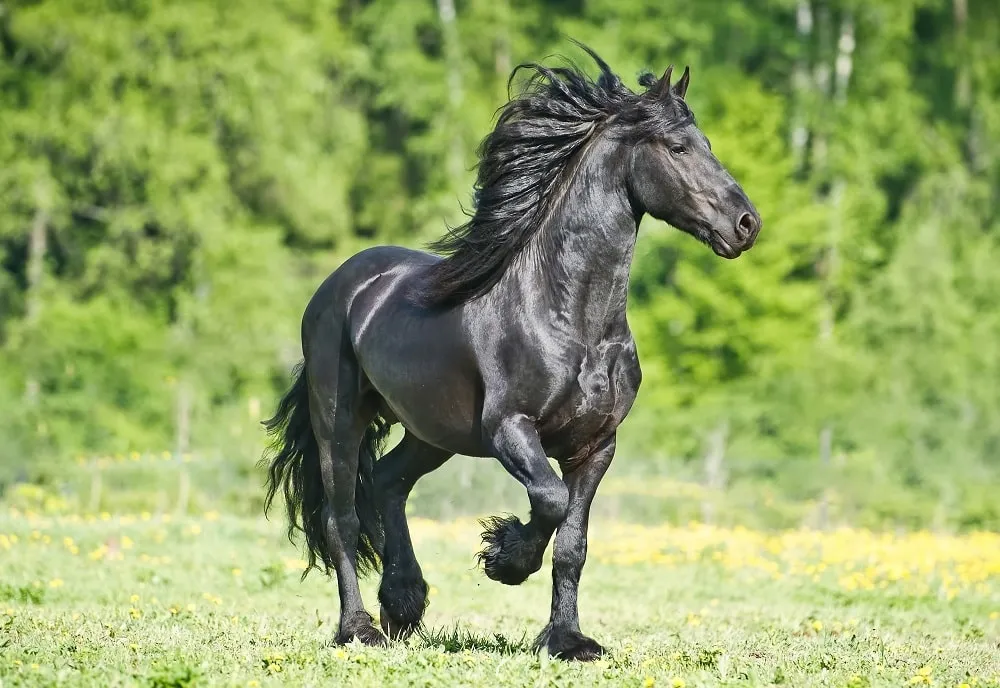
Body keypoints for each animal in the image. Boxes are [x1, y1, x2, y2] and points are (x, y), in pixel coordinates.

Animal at [262, 42, 761, 661]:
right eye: (677, 148)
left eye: (706, 144)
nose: (746, 224)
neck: (571, 320)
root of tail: (341, 284)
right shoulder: (509, 429)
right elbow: (548, 500)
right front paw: (504, 558)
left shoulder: (596, 445)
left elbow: (573, 543)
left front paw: (568, 640)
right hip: (340, 418)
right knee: (343, 518)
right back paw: (360, 628)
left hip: (432, 431)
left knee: (389, 482)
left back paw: (404, 602)